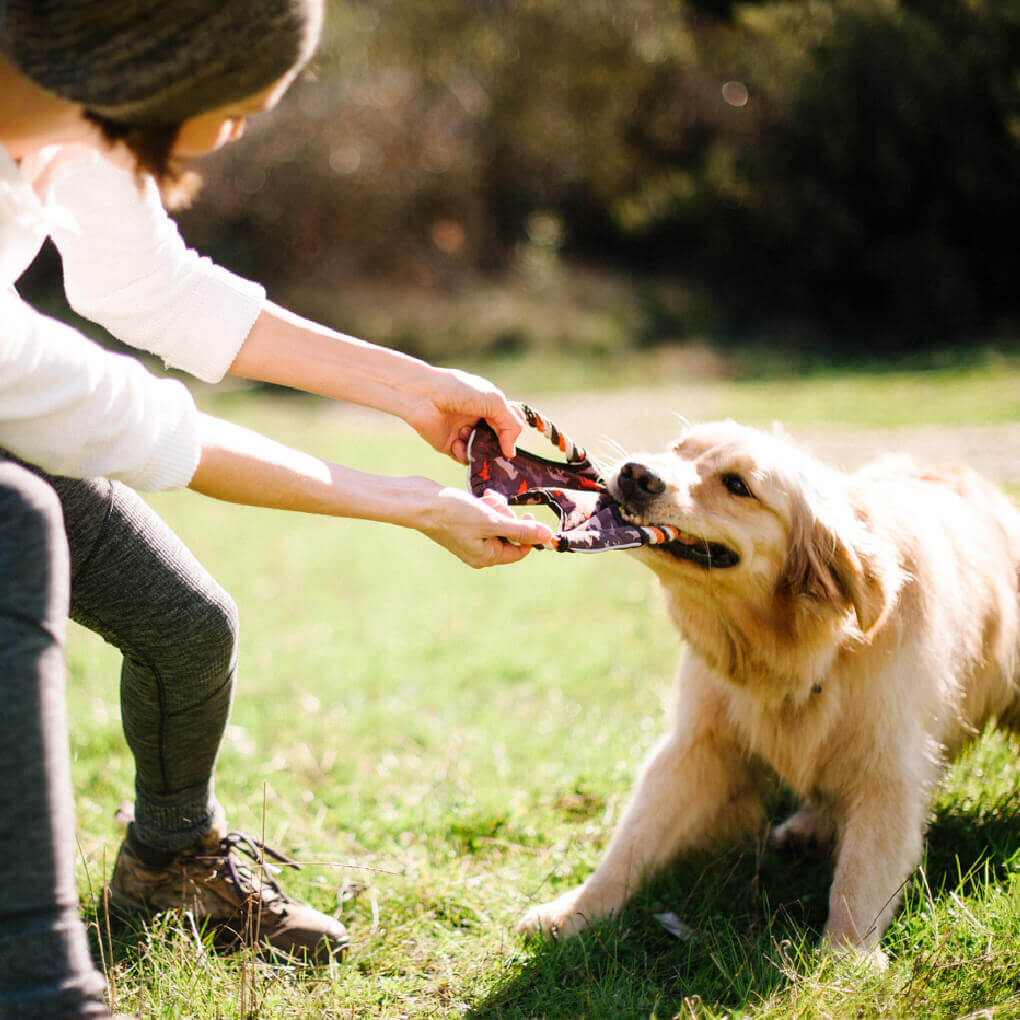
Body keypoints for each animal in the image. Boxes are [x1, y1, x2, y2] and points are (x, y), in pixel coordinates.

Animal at [522, 418, 1015, 958]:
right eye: (678, 449)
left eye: (738, 485)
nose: (636, 474)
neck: (791, 649)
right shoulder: (699, 744)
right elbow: (635, 838)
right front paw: (575, 912)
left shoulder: (890, 762)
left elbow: (863, 870)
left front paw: (845, 958)